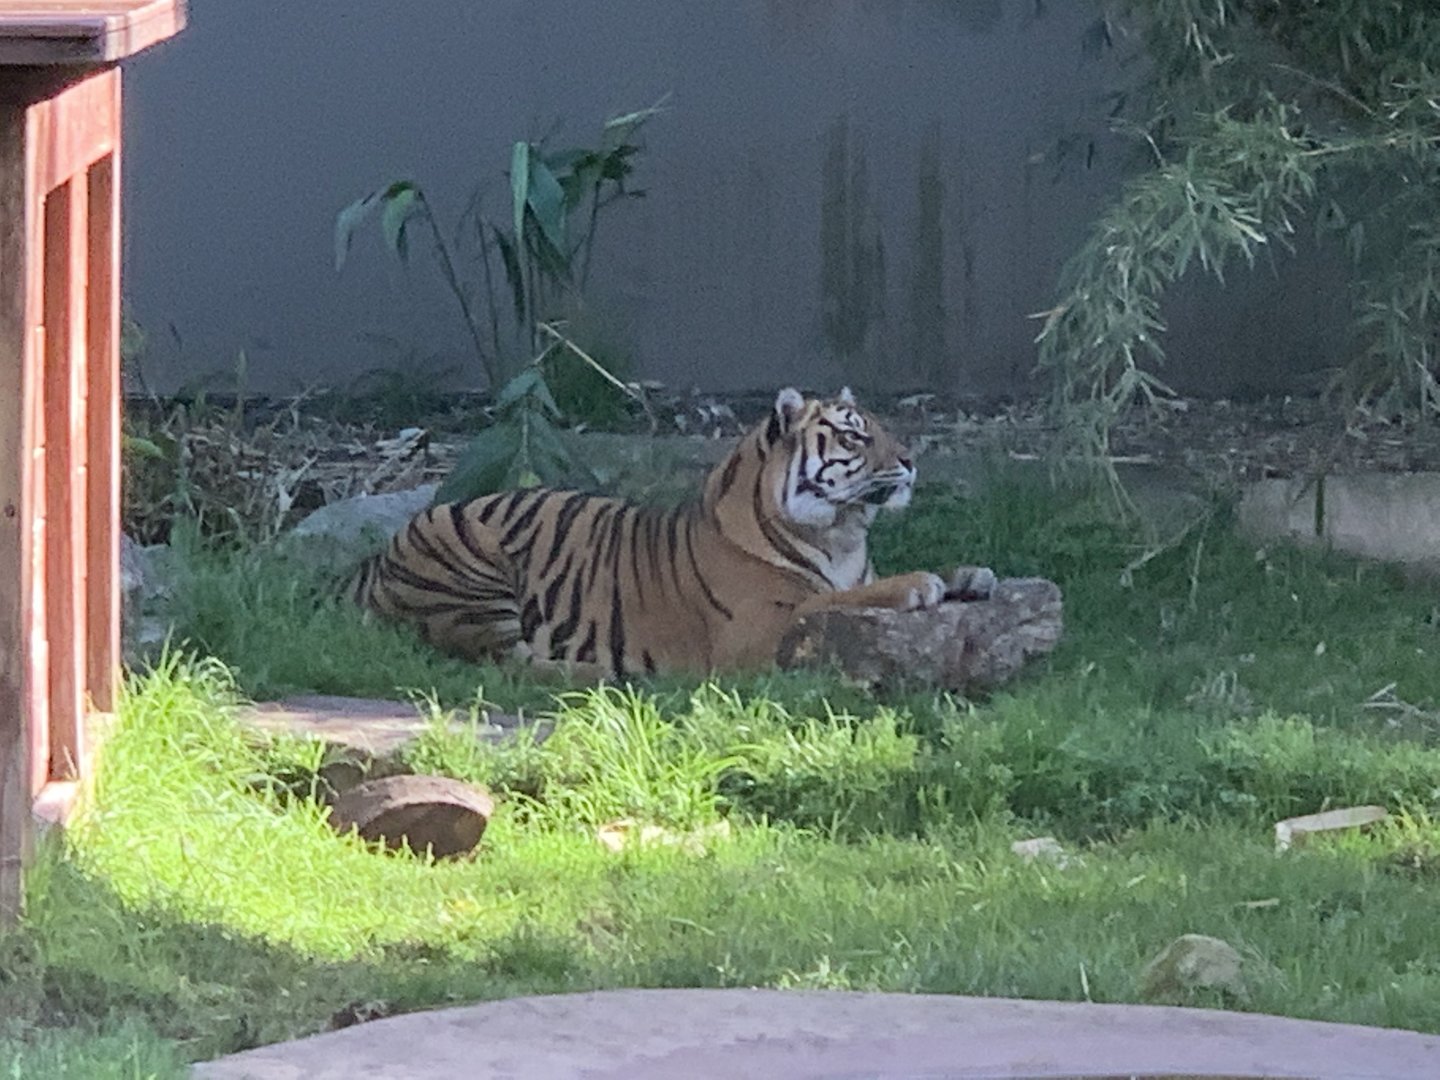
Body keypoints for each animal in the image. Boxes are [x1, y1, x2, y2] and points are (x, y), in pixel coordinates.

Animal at [348, 386, 994, 679]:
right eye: (856, 435)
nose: (911, 460)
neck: (841, 532)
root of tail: (373, 562)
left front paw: (975, 574)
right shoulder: (756, 631)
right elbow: (834, 598)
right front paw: (919, 583)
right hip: (474, 566)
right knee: (511, 662)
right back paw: (607, 676)